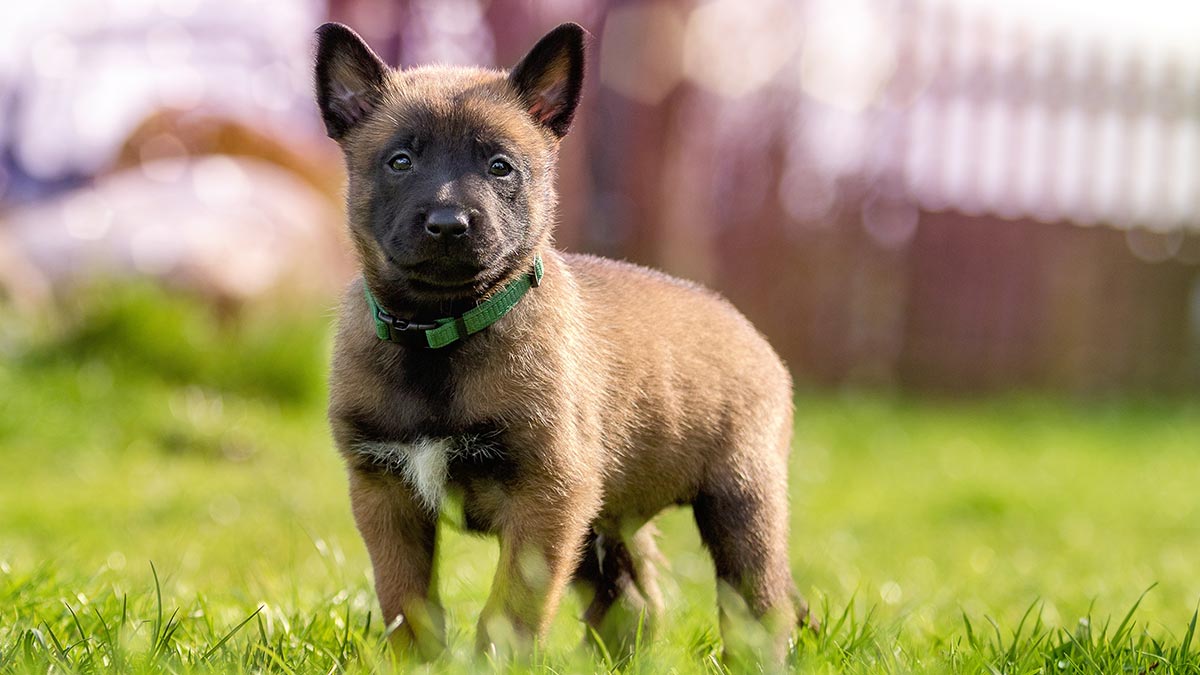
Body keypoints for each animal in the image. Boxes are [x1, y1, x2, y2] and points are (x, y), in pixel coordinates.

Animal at [314, 21, 811, 662]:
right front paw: (418, 665)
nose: (449, 225)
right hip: (606, 522)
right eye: (399, 161)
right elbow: (407, 604)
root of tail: (745, 327)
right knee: (633, 603)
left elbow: (508, 613)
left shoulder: (546, 498)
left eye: (501, 166)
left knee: (759, 606)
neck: (441, 336)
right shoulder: (386, 492)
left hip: (741, 503)